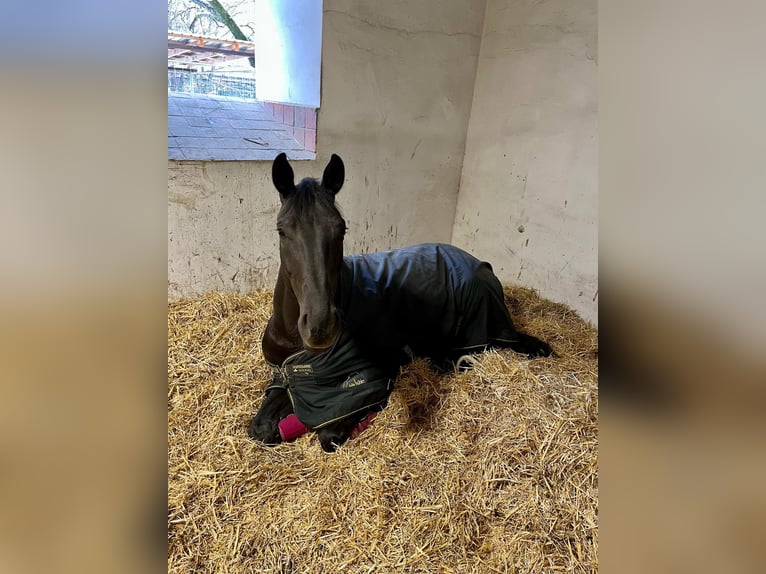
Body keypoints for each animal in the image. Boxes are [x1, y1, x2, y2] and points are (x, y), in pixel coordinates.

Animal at [248, 153, 552, 452]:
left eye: (341, 229)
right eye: (281, 231)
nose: (321, 327)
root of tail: (481, 264)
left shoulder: (372, 380)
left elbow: (328, 434)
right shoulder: (283, 378)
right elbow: (260, 428)